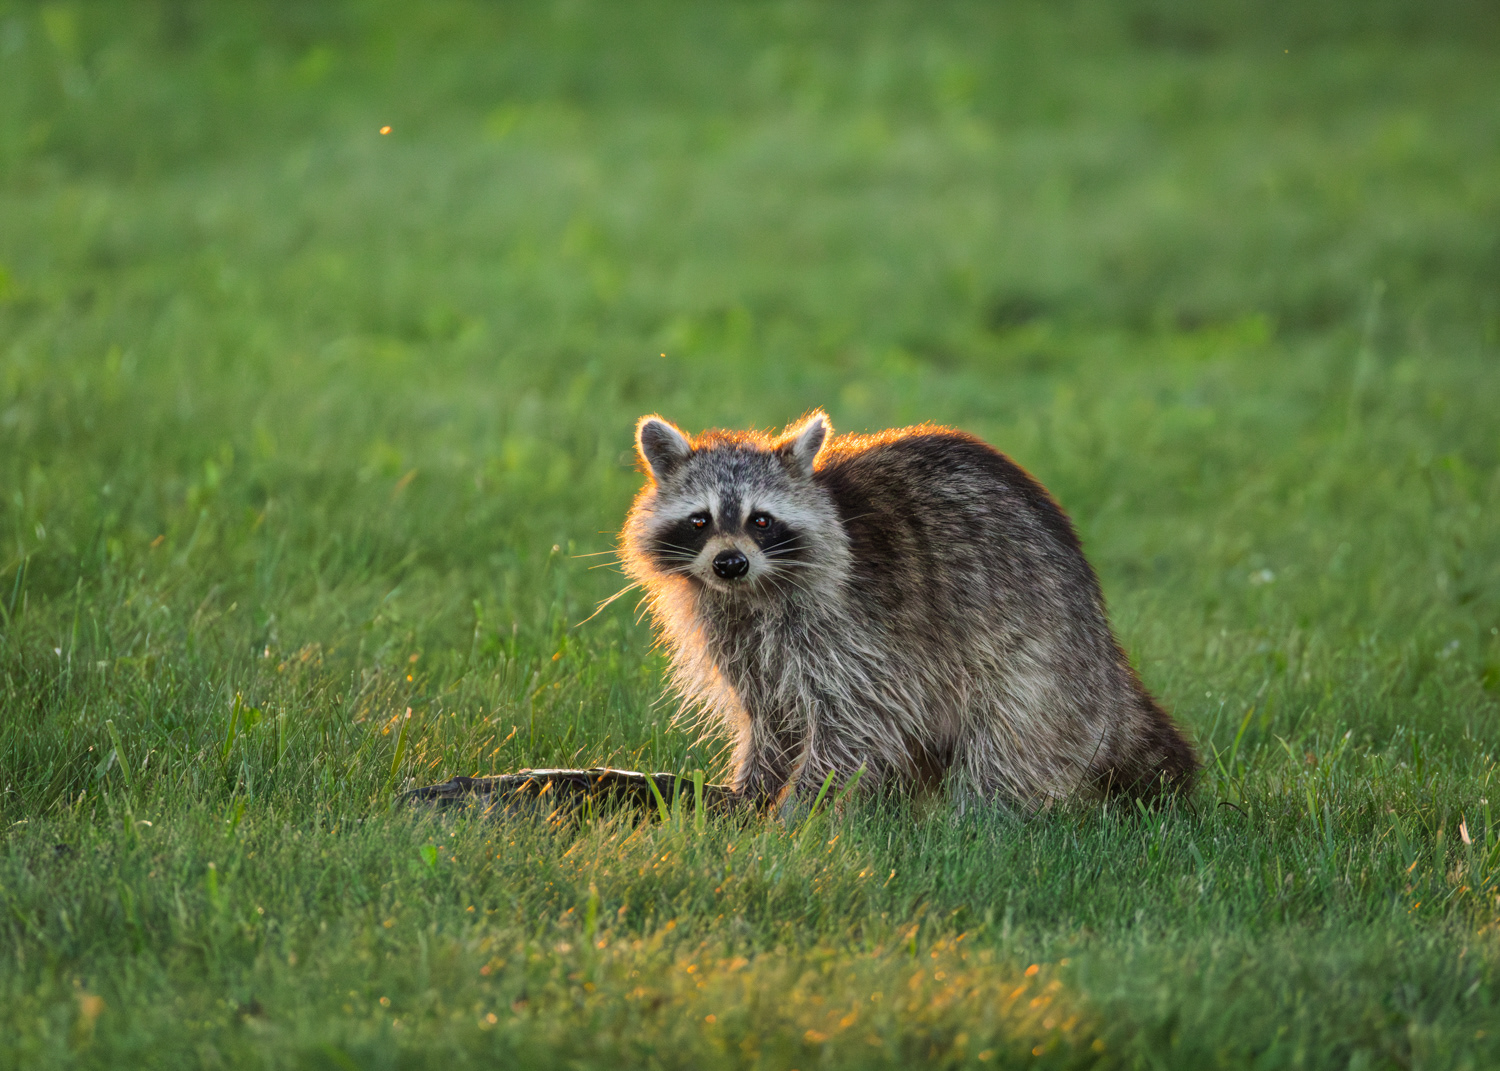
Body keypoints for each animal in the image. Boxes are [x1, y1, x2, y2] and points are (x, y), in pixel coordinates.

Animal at [619, 410, 1197, 811]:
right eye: (700, 521)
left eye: (761, 521)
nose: (730, 564)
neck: (752, 595)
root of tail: (1104, 655)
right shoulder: (737, 634)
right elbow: (773, 720)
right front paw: (754, 791)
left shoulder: (854, 634)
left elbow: (856, 724)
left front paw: (795, 811)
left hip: (1041, 652)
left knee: (1008, 737)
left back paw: (979, 817)